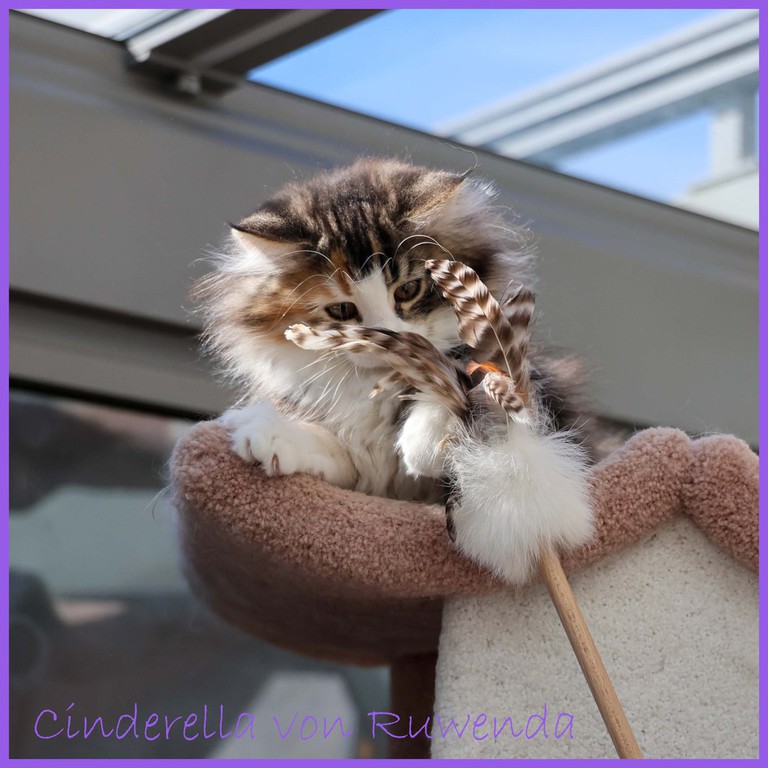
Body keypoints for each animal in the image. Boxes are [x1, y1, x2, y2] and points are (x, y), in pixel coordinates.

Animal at [195, 158, 589, 503]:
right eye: (342, 309)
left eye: (407, 290)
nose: (389, 341)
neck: (377, 388)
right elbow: (340, 451)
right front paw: (275, 435)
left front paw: (428, 435)